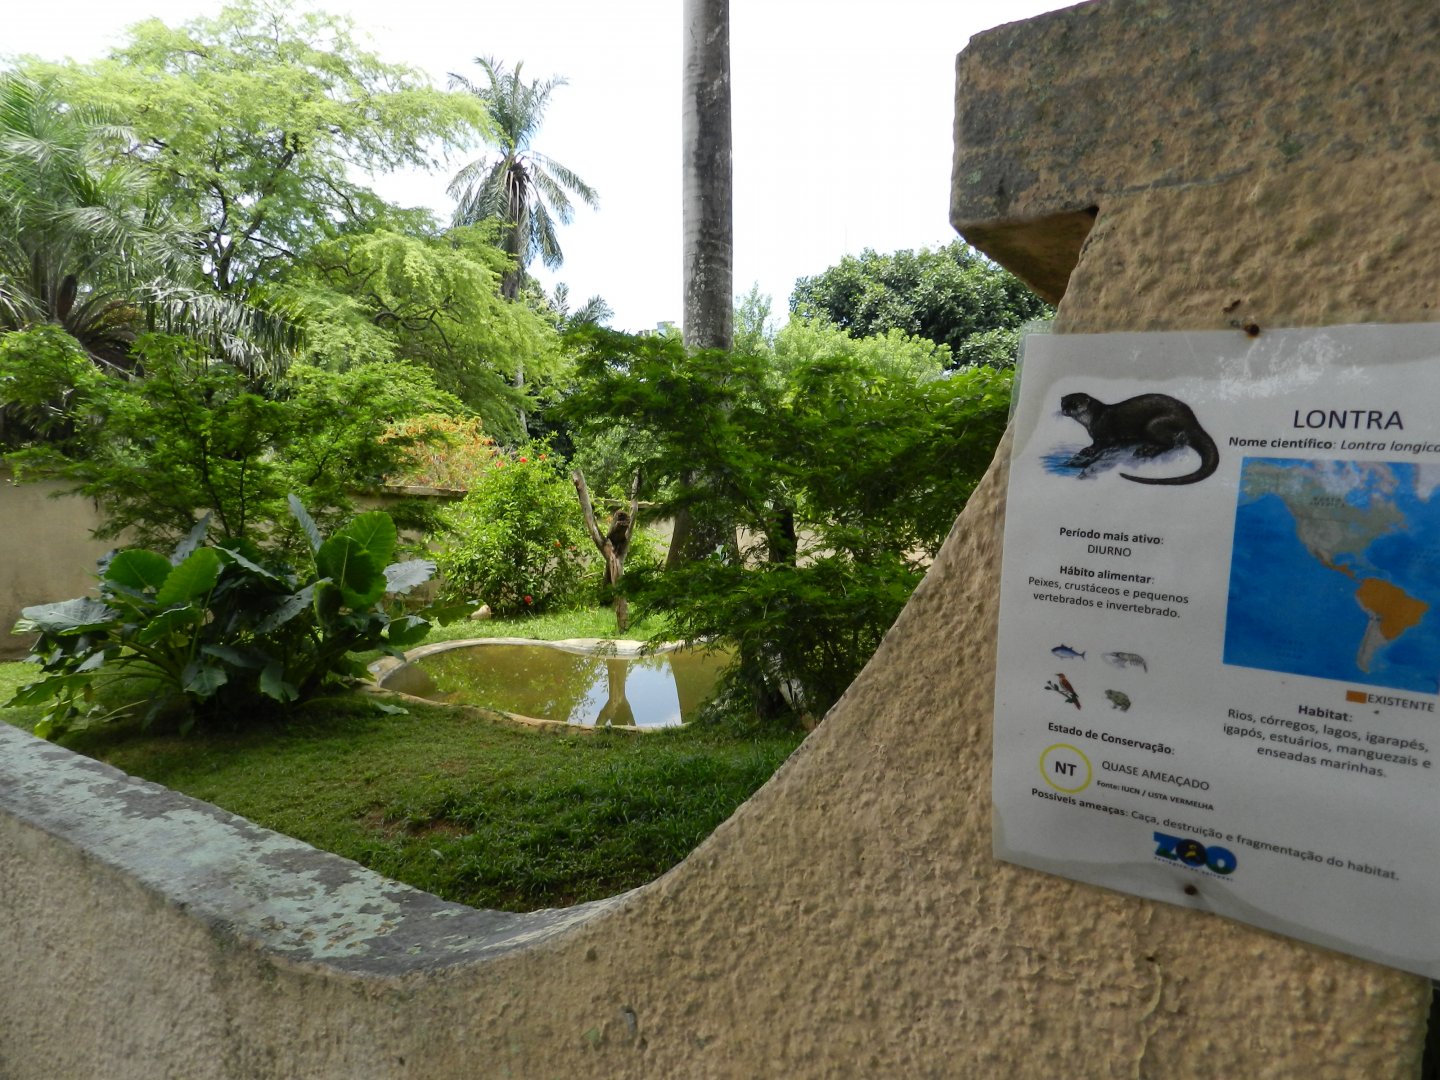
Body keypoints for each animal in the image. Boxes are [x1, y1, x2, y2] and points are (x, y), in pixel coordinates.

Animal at [1059, 392, 1219, 485]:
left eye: (1076, 404)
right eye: (1063, 403)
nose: (1065, 410)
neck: (1094, 418)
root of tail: (1191, 420)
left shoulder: (1105, 433)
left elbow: (1102, 444)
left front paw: (1088, 450)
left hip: (1154, 424)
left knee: (1170, 442)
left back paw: (1147, 450)